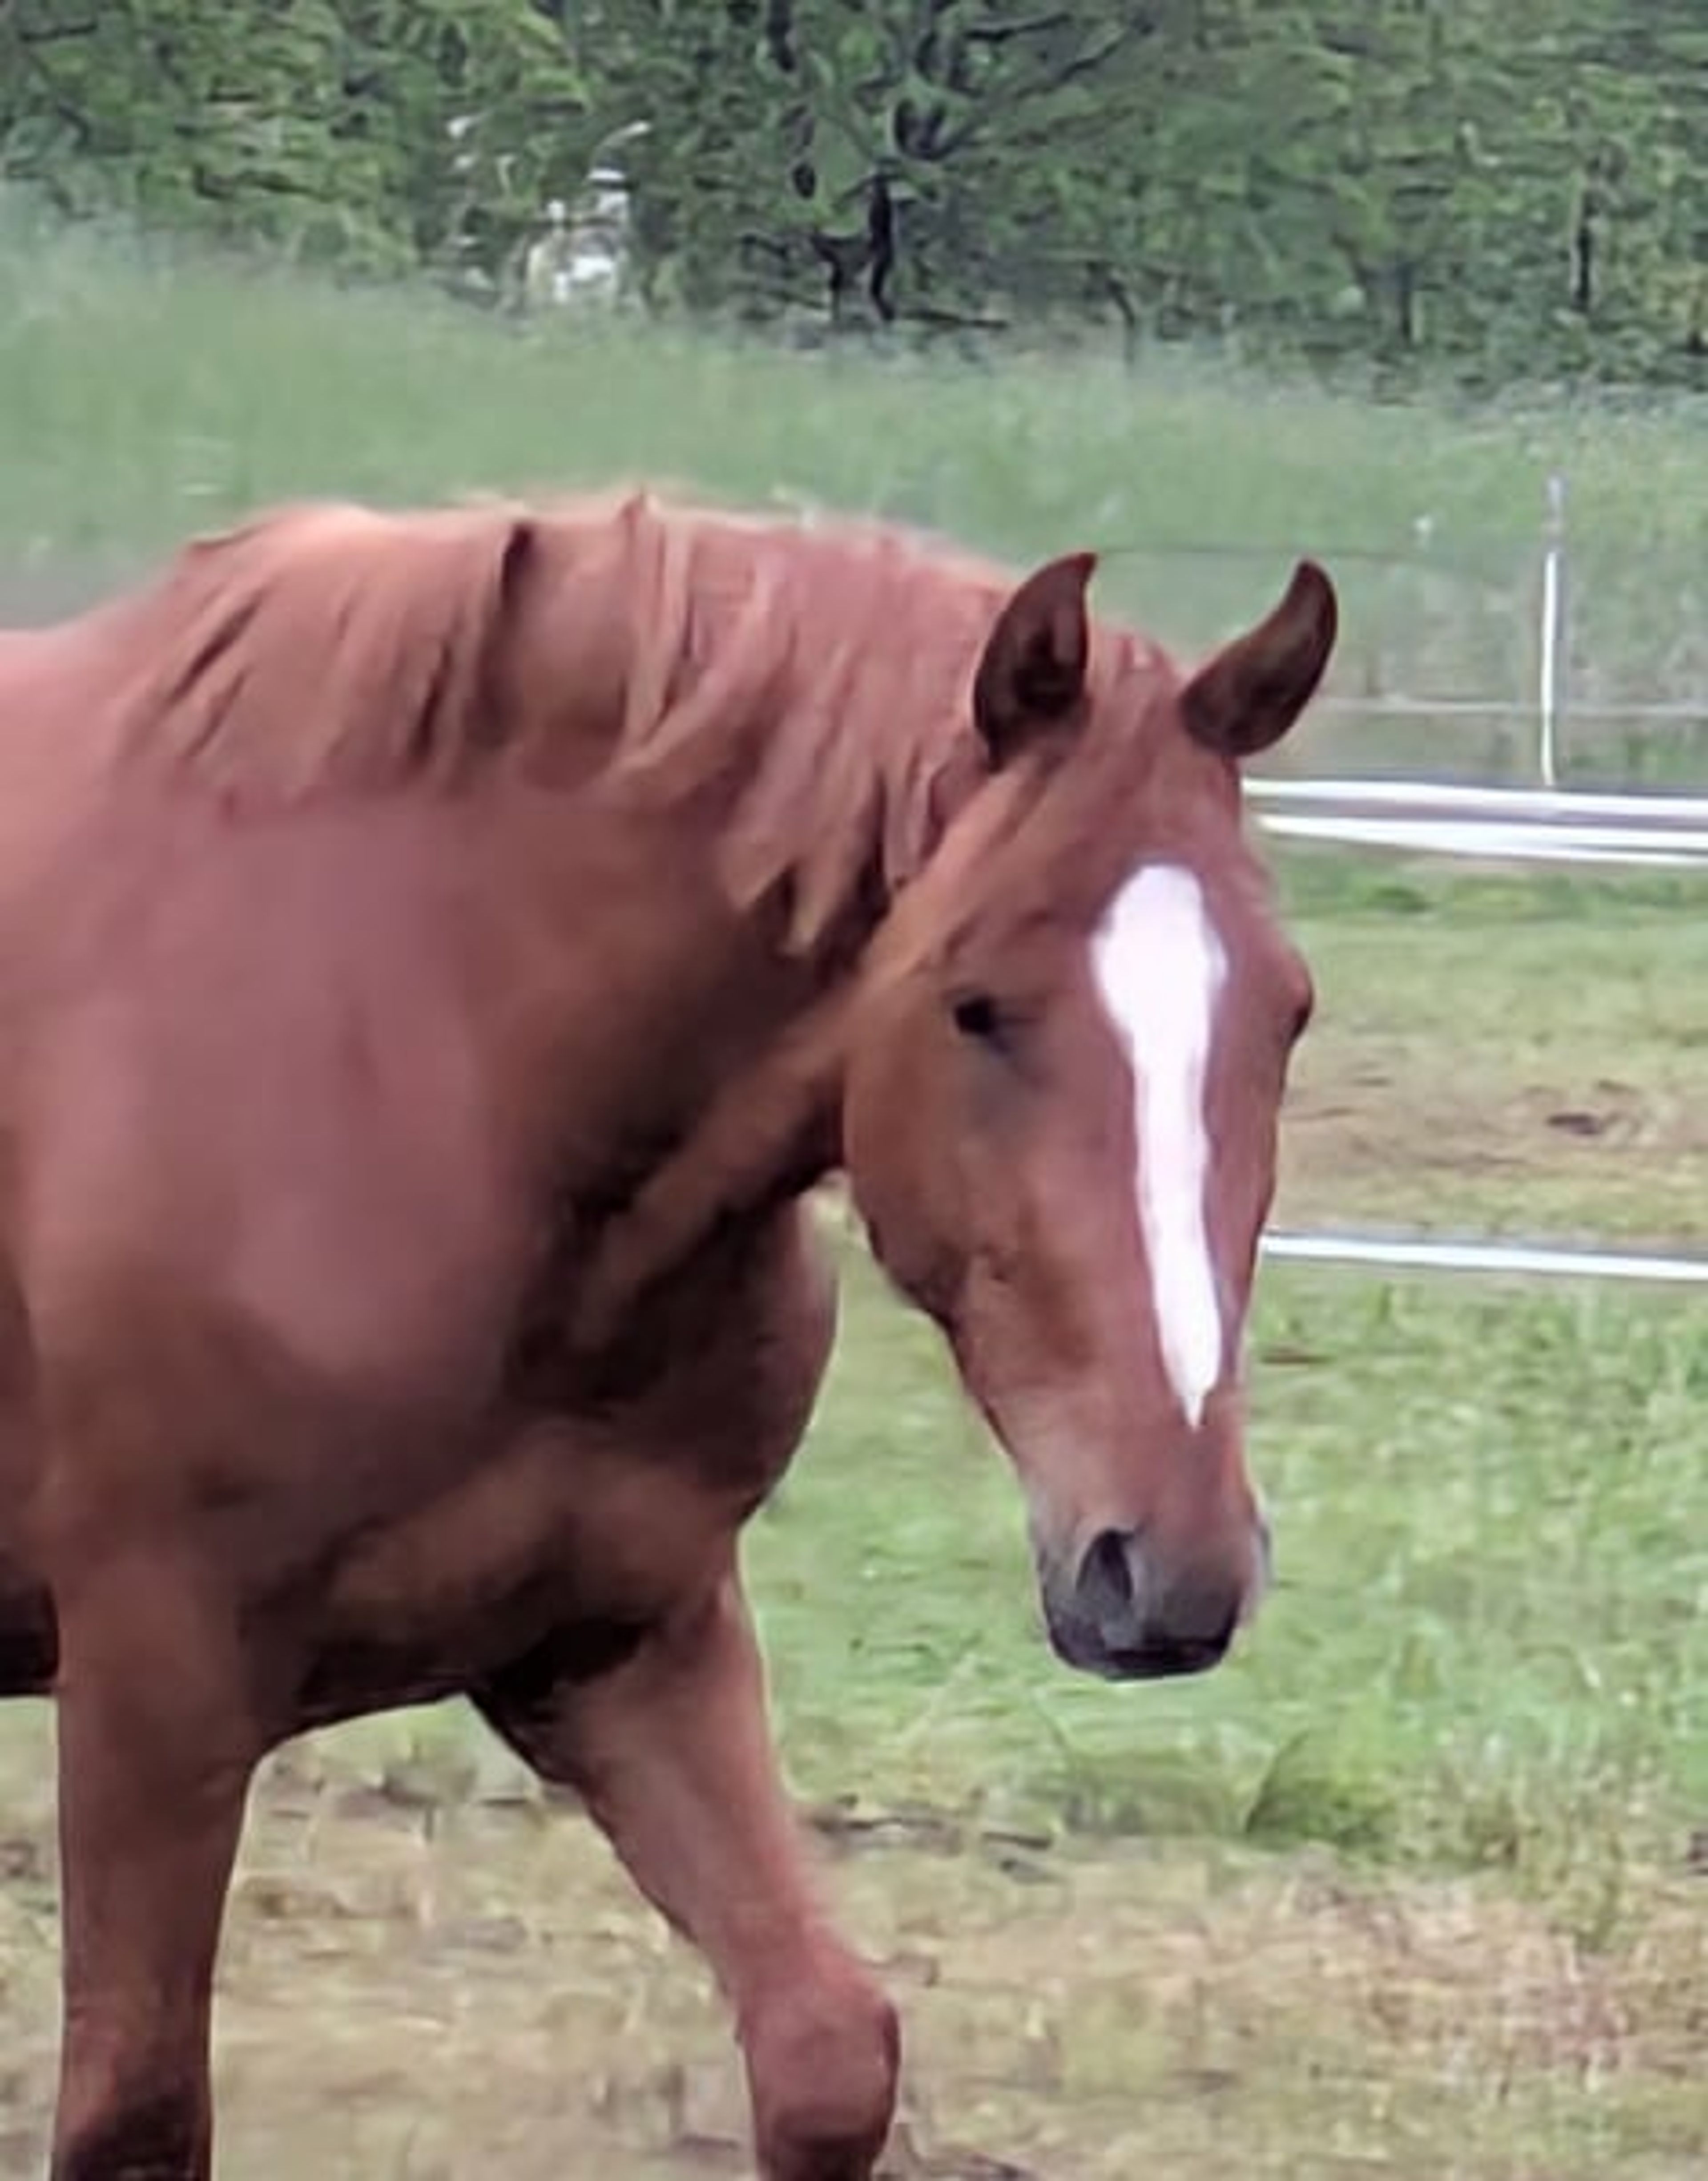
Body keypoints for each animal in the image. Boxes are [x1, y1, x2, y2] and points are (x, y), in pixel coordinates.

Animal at [0, 485, 1337, 2181]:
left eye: (1287, 1012)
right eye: (974, 1004)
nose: (1168, 1570)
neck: (434, 1053)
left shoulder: (622, 1638)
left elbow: (828, 2050)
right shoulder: (154, 1678)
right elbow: (133, 2107)